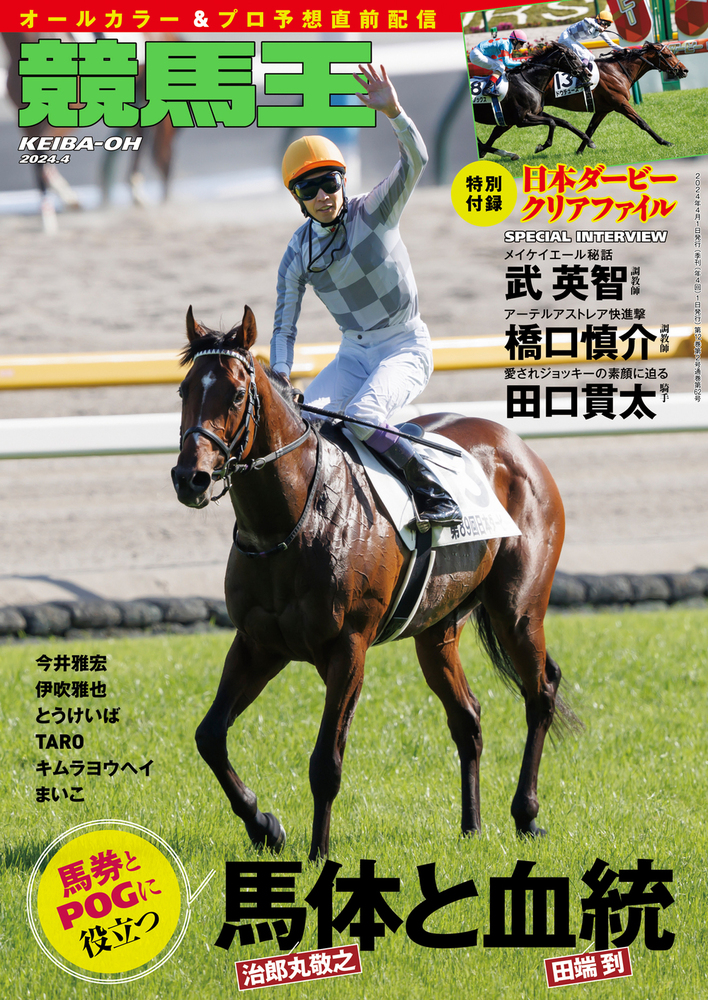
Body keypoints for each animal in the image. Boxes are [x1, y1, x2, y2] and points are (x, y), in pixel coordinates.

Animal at [171, 306, 580, 861]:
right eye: (184, 389)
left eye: (236, 393)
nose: (188, 477)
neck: (292, 522)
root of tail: (518, 446)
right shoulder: (258, 643)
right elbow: (210, 735)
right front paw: (264, 826)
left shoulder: (349, 647)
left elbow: (326, 763)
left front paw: (319, 854)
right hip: (437, 630)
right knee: (468, 717)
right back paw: (471, 825)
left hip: (517, 610)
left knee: (540, 693)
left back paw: (526, 814)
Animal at [541, 42, 688, 154]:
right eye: (668, 55)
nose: (684, 70)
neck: (618, 71)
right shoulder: (621, 104)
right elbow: (642, 123)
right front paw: (665, 142)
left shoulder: (603, 110)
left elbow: (590, 129)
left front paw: (580, 151)